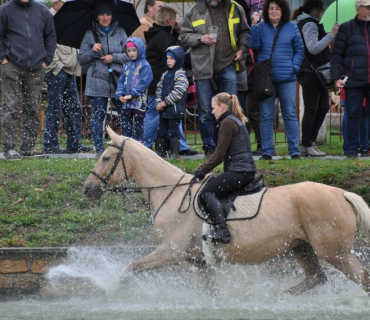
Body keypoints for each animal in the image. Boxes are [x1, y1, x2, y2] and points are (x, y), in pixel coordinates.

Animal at [82, 127, 370, 296]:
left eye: (106, 158)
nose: (88, 189)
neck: (171, 193)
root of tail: (341, 193)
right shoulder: (199, 261)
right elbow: (211, 292)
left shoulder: (170, 251)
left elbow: (131, 268)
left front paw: (113, 293)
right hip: (302, 247)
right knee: (316, 279)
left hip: (334, 252)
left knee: (362, 278)